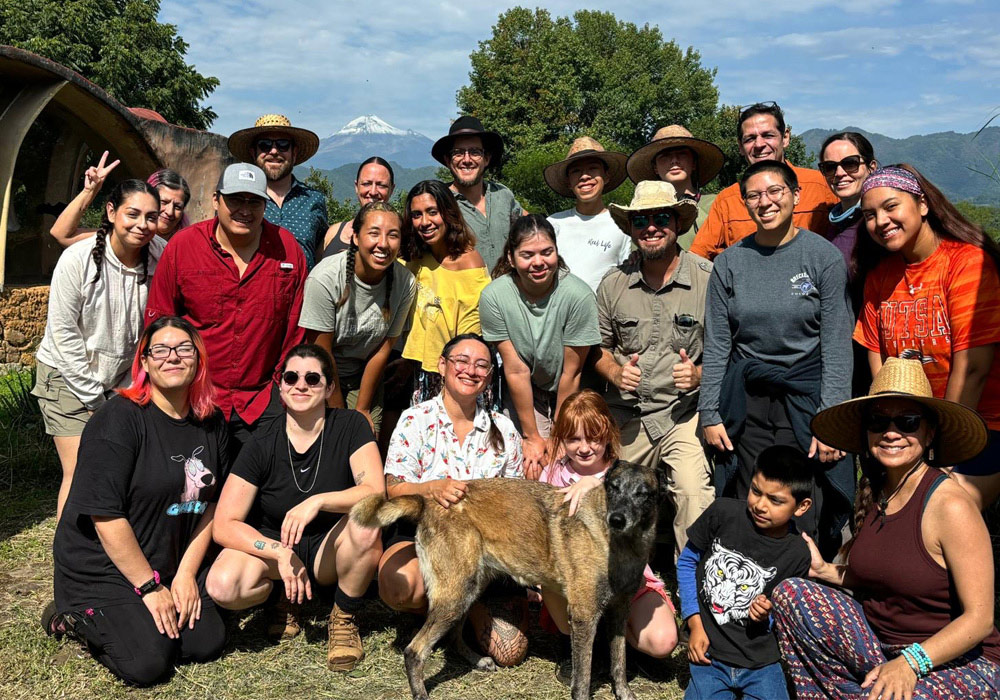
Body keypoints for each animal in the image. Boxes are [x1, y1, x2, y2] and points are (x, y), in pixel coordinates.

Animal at [348, 460, 660, 700]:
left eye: (643, 494)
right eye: (613, 488)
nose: (616, 519)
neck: (621, 544)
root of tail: (428, 502)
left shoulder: (619, 612)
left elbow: (619, 663)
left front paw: (624, 693)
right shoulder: (585, 616)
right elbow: (583, 677)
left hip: (467, 591)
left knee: (454, 635)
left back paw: (476, 660)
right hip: (455, 596)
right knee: (414, 651)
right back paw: (421, 693)